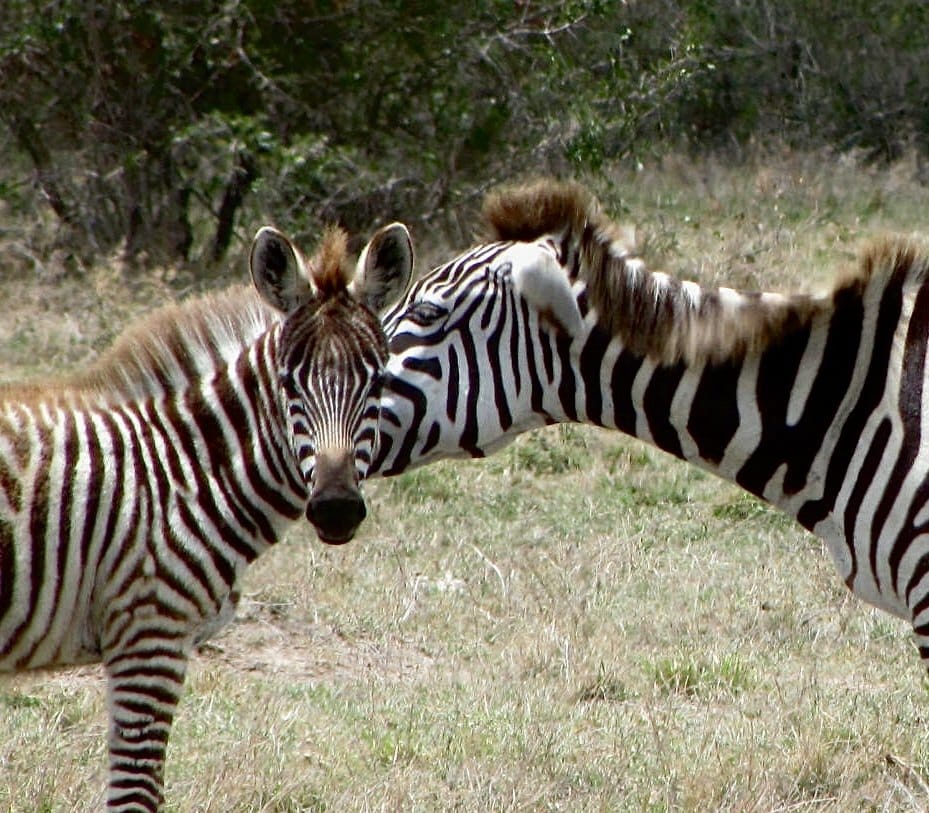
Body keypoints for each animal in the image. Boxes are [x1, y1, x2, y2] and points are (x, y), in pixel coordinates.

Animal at [0, 221, 412, 812]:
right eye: (289, 383)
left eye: (378, 382)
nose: (336, 509)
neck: (184, 471)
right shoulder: (150, 636)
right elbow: (136, 794)